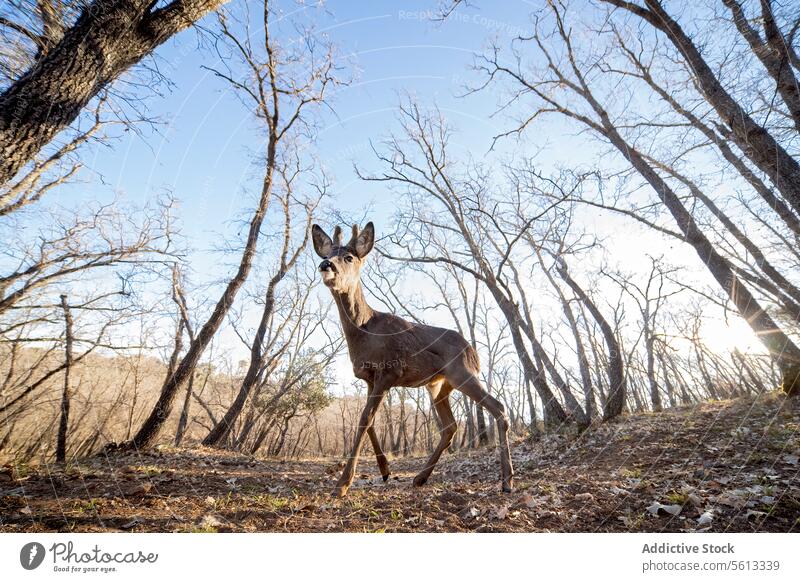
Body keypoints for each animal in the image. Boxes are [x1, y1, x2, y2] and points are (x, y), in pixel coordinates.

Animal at [312, 221, 512, 500]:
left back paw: (507, 481)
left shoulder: (389, 371)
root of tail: (473, 351)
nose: (325, 265)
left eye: (349, 257)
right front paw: (385, 470)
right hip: (438, 385)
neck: (365, 330)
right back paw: (420, 478)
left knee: (499, 408)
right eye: (328, 253)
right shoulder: (369, 378)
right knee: (450, 426)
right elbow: (369, 421)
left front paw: (342, 485)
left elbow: (364, 419)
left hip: (462, 373)